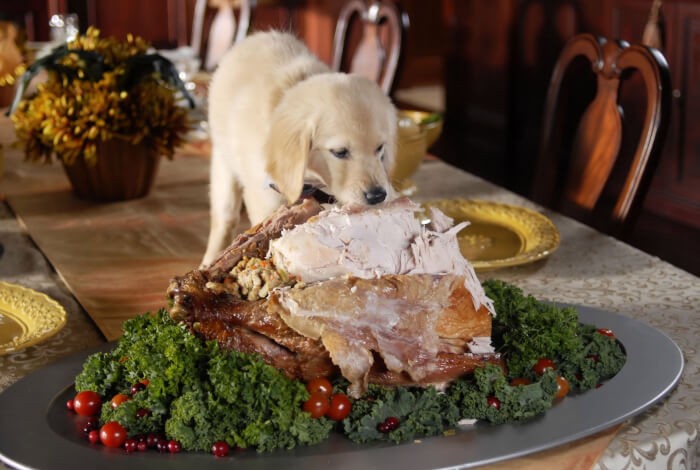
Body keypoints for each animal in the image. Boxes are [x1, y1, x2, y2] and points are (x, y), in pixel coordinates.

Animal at [202, 31, 400, 266]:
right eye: (340, 152)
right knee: (224, 219)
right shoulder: (264, 199)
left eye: (379, 148)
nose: (377, 196)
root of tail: (258, 35)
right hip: (223, 164)